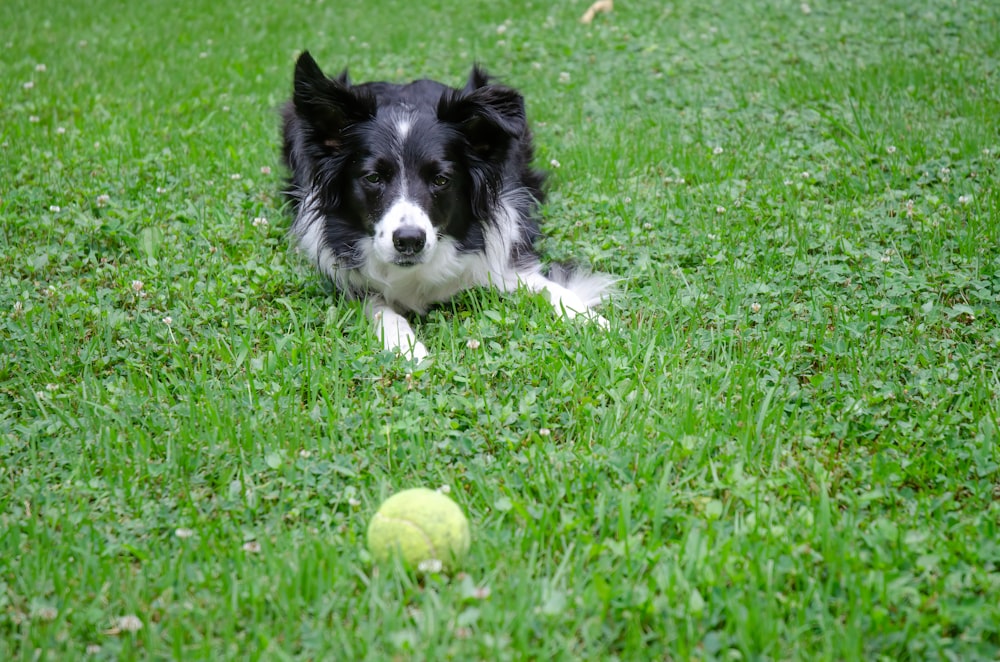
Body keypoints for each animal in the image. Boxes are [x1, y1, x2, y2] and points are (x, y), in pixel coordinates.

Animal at [278, 52, 612, 364]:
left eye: (441, 179)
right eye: (373, 178)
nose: (409, 241)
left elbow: (548, 286)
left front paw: (593, 320)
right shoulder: (347, 278)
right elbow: (382, 309)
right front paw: (407, 349)